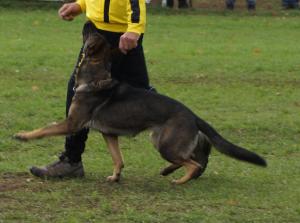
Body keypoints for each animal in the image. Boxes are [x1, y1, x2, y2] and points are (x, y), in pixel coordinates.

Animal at [15, 31, 266, 185]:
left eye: (90, 34)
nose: (88, 23)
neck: (96, 75)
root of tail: (193, 115)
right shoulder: (109, 134)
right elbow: (118, 159)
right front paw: (115, 177)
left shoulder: (71, 124)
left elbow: (44, 129)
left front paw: (23, 136)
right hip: (163, 140)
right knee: (195, 157)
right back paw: (169, 171)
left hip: (164, 144)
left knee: (193, 163)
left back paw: (179, 179)